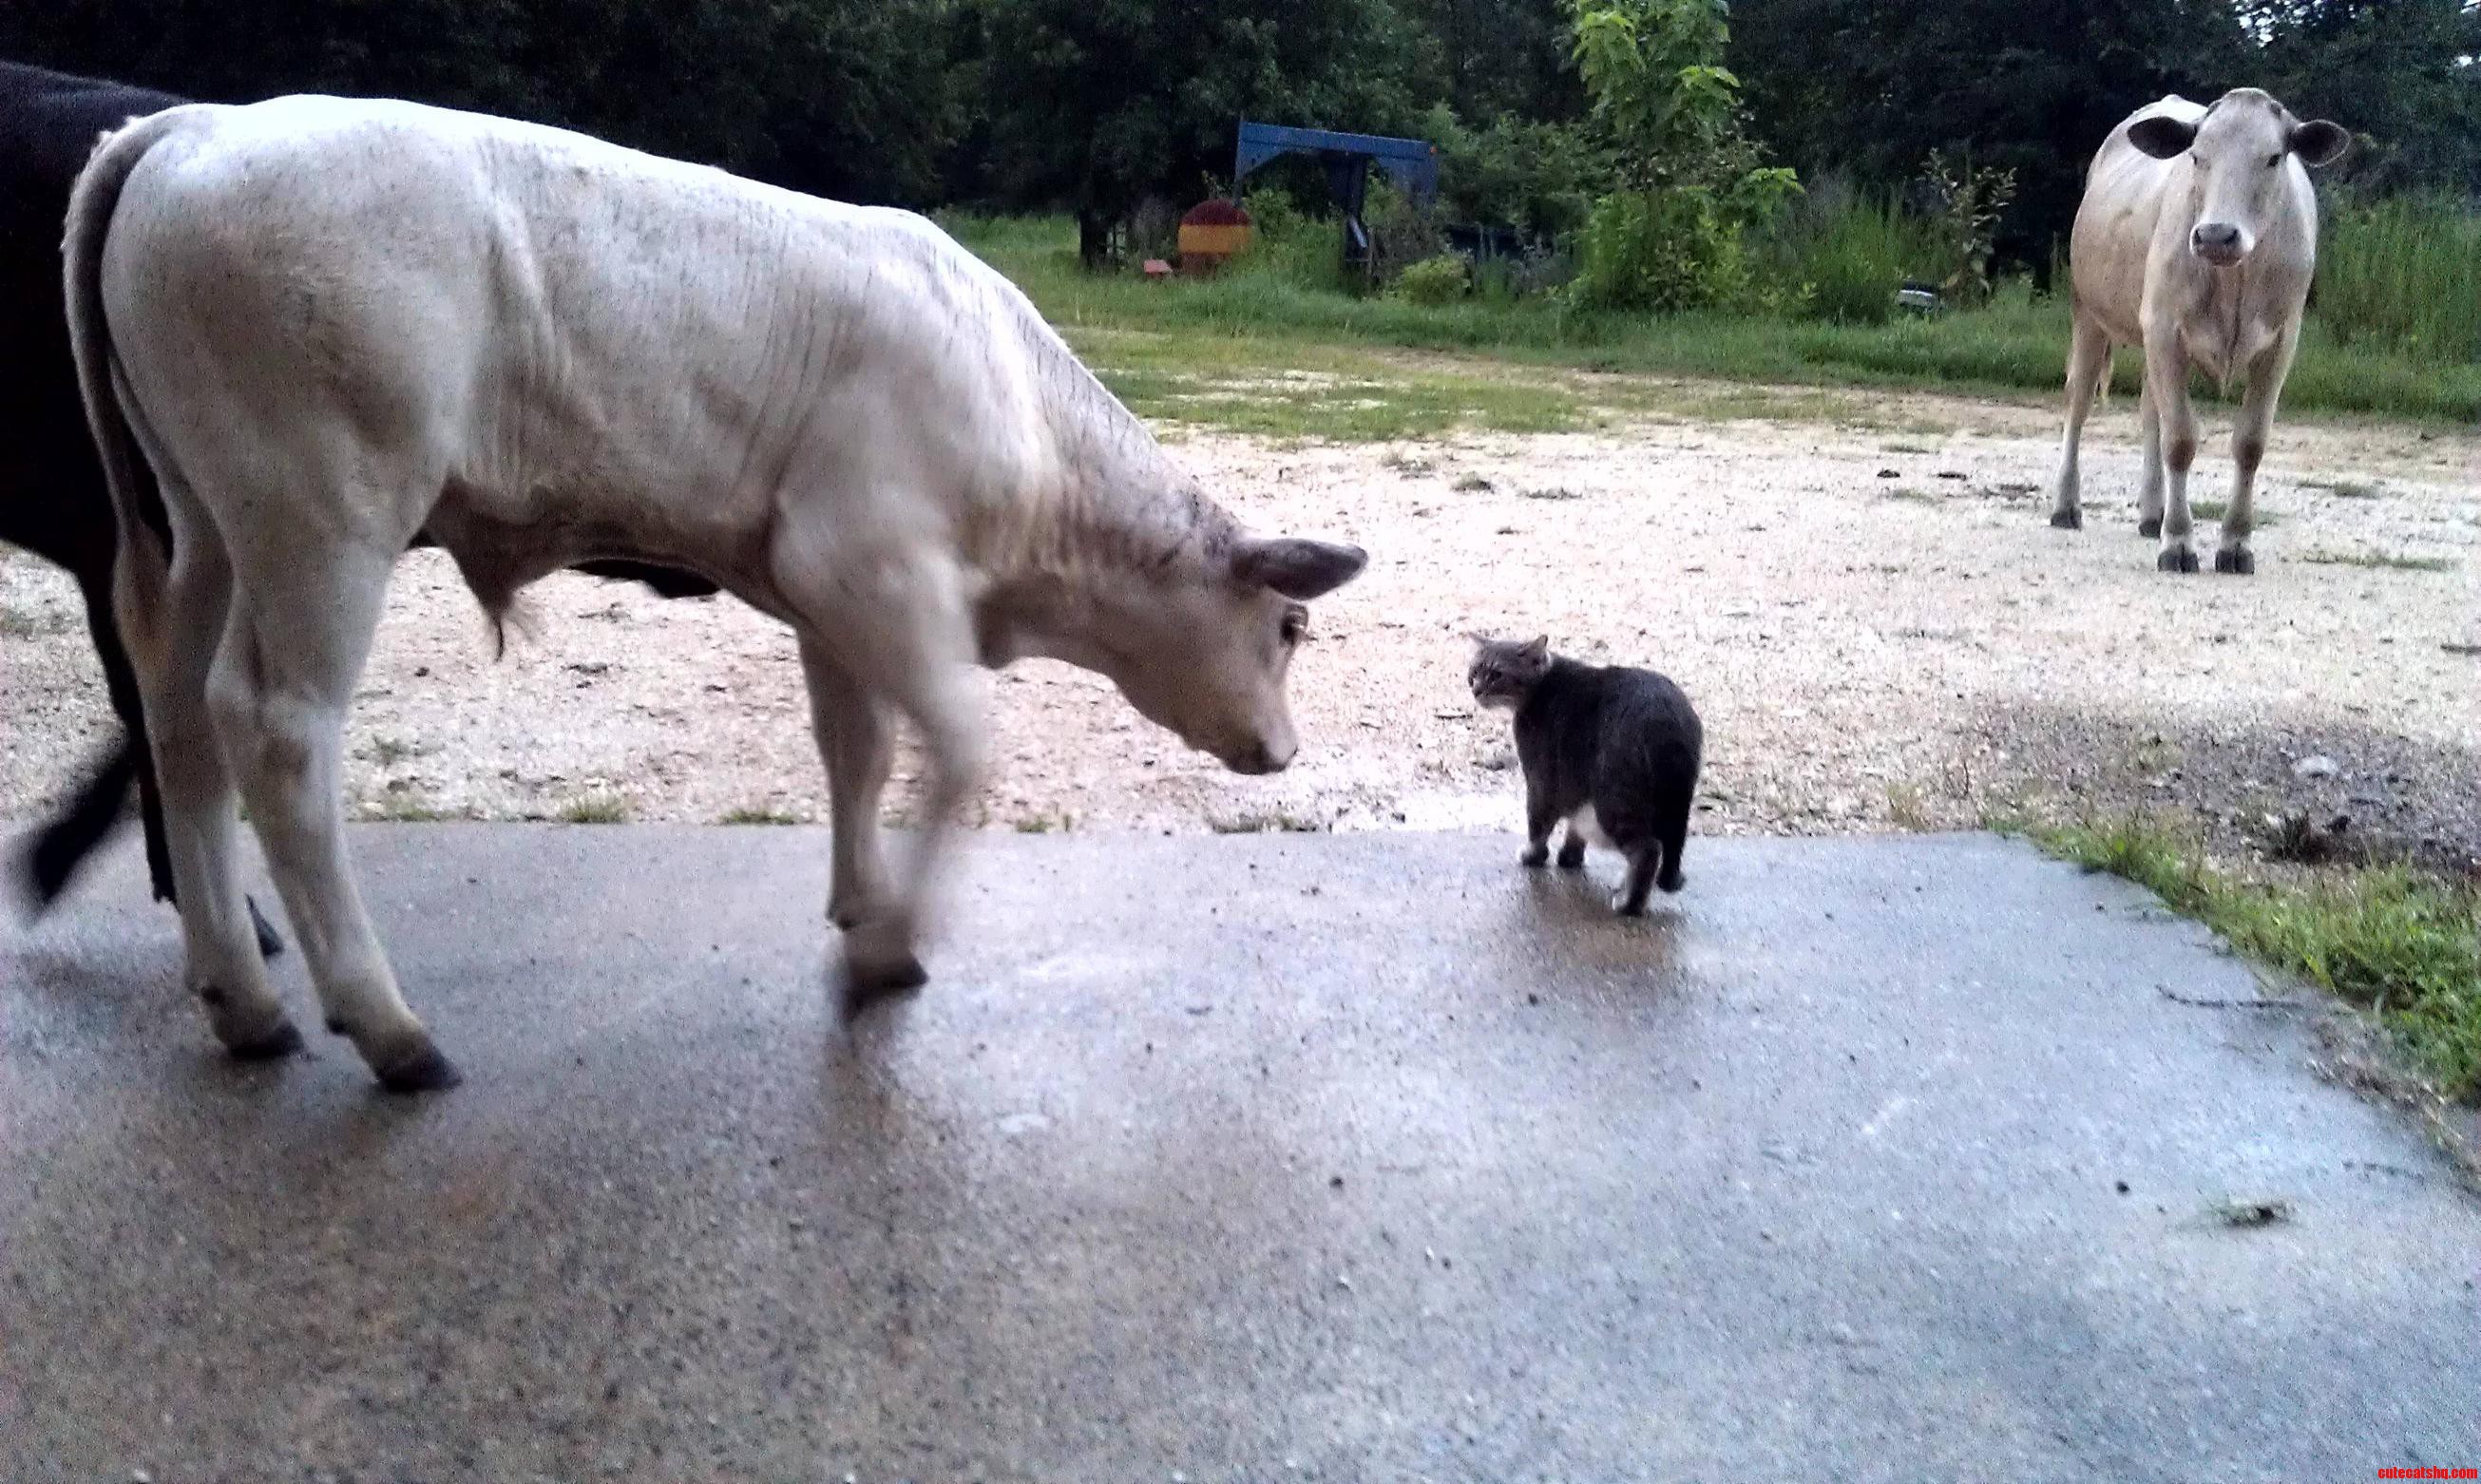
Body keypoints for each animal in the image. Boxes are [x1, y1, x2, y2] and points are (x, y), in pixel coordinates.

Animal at [66, 96, 1366, 1091]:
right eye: (1290, 625)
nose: (1285, 750)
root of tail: (196, 123)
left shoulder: (834, 601)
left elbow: (858, 753)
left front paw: (860, 907)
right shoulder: (876, 567)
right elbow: (959, 746)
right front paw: (892, 940)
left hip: (203, 525)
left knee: (177, 716)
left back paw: (244, 998)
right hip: (323, 518)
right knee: (276, 732)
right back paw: (388, 1028)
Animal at [2045, 89, 2348, 574]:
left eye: (2273, 158)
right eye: (2197, 156)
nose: (2216, 235)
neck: (2235, 282)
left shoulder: (2281, 344)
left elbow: (2250, 443)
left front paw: (2235, 544)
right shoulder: (2165, 330)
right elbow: (2181, 440)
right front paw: (2179, 544)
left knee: (2150, 410)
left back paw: (2152, 514)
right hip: (2089, 311)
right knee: (2080, 401)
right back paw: (2067, 506)